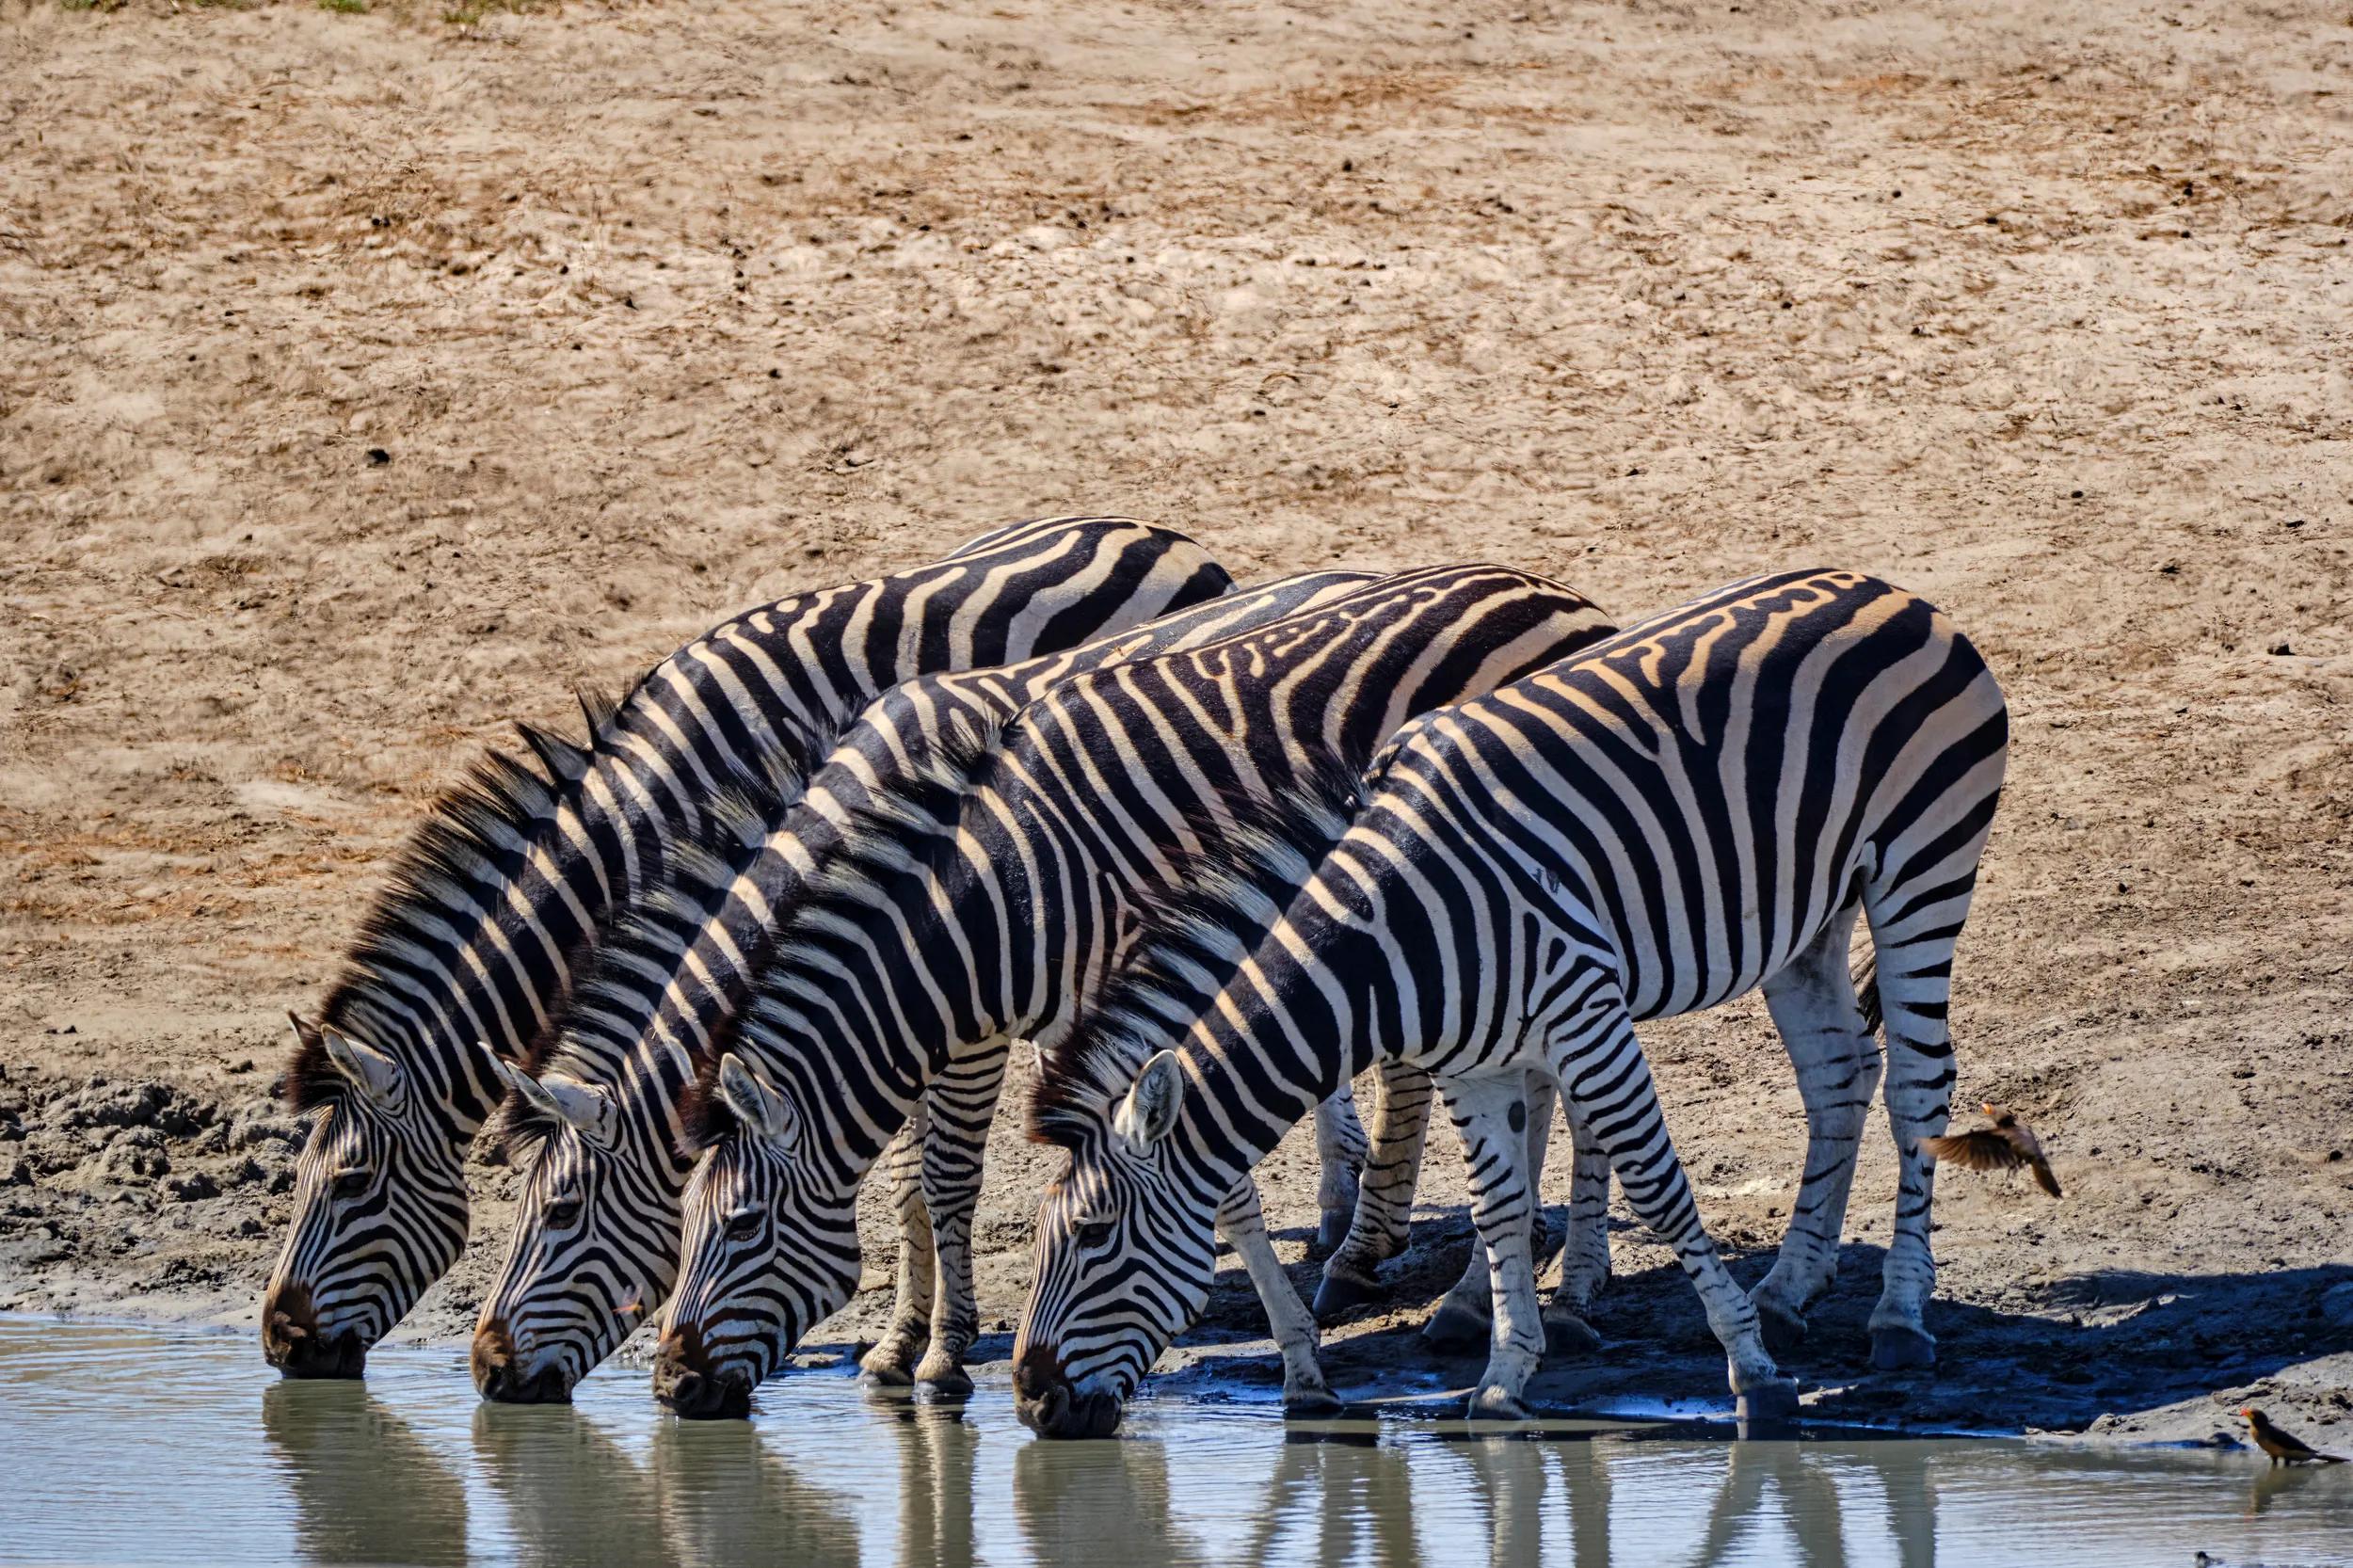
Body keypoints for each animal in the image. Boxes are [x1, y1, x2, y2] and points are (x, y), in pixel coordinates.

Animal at [259, 517, 1230, 1378]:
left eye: (348, 1186)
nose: (281, 1345)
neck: (628, 832)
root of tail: (1154, 533)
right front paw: (897, 1339)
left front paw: (934, 1345)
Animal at [469, 569, 1382, 1403]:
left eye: (557, 1214)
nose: (487, 1372)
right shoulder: (903, 1012)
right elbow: (911, 1176)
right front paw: (902, 1344)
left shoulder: (971, 1020)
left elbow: (948, 1177)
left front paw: (944, 1353)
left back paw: (1361, 1249)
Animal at [651, 563, 1621, 1418]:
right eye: (678, 1232)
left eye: (740, 1226)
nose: (671, 1389)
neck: (1007, 897)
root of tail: (1558, 592)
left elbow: (999, 1174)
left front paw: (941, 1361)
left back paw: (1550, 1298)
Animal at [1014, 568, 2008, 1434]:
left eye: (1093, 1235)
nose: (1031, 1404)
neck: (1394, 931)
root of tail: (1888, 590)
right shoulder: (1473, 1060)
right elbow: (1496, 1207)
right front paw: (1501, 1382)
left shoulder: (1583, 1010)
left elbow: (1658, 1187)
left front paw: (1752, 1376)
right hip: (1810, 917)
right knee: (1840, 1074)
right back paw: (1792, 1289)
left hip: (1924, 865)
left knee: (1918, 1086)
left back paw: (1898, 1318)